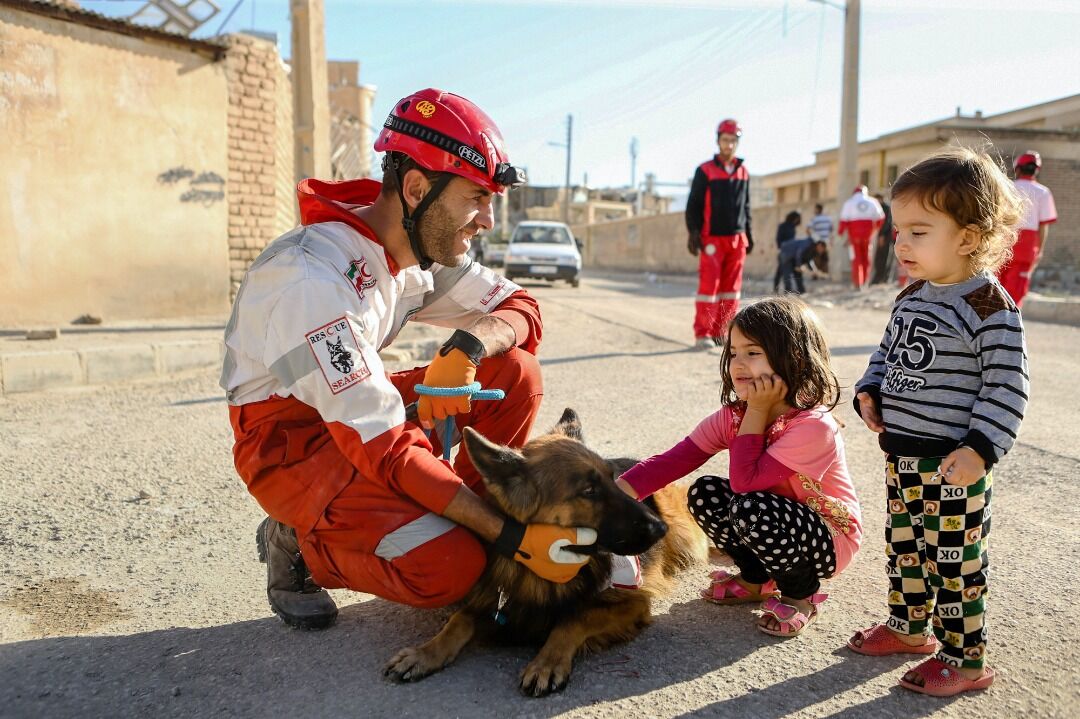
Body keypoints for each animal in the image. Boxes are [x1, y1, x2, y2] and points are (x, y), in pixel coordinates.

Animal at [382, 408, 708, 695]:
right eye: (589, 491)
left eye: (612, 478)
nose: (660, 528)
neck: (540, 573)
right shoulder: (498, 600)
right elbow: (459, 619)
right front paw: (425, 653)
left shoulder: (632, 604)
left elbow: (574, 618)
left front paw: (546, 664)